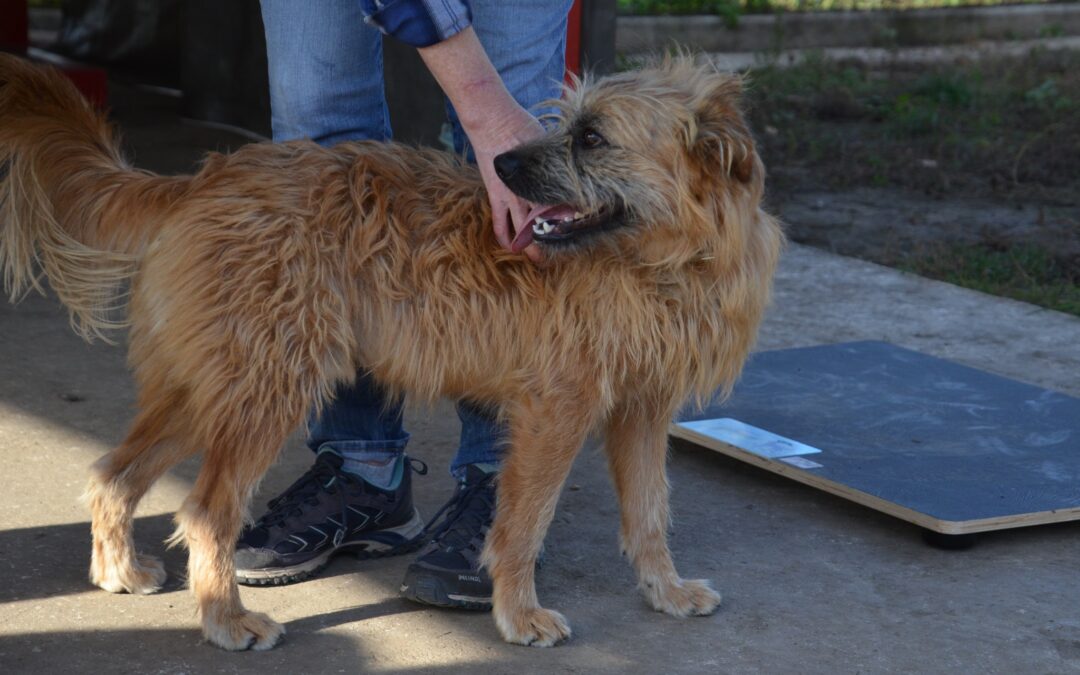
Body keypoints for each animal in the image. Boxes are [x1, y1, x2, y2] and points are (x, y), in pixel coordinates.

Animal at [0, 54, 781, 652]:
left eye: (592, 136)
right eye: (568, 125)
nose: (501, 161)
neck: (665, 261)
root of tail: (208, 178)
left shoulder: (643, 412)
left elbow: (650, 512)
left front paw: (666, 590)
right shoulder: (554, 410)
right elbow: (523, 524)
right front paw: (518, 613)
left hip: (211, 386)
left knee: (114, 472)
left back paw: (119, 571)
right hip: (268, 384)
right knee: (204, 512)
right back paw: (225, 619)